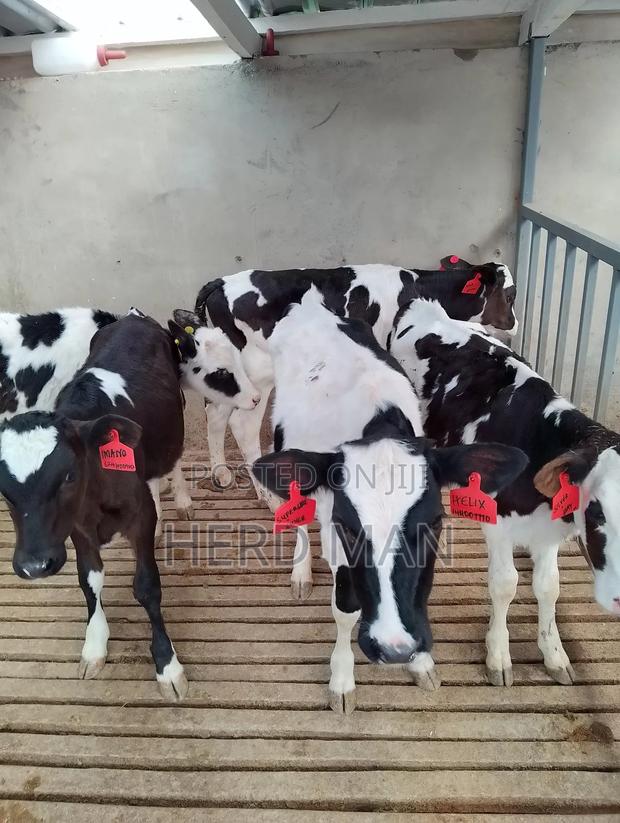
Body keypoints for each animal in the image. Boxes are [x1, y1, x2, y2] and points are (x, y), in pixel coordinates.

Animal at [0, 313, 197, 699]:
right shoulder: (77, 528)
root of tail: (133, 317)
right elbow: (89, 579)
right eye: (3, 488)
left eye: (68, 475)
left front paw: (167, 664)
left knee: (174, 460)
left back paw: (180, 499)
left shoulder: (138, 517)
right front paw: (94, 644)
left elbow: (146, 586)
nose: (33, 566)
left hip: (177, 414)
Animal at [174, 260, 517, 517]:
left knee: (216, 413)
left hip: (233, 372)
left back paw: (221, 472)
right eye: (511, 295)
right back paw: (269, 499)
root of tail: (220, 282)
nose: (513, 325)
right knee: (241, 424)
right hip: (257, 371)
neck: (418, 288)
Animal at [252, 291, 527, 712]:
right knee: (297, 514)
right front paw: (342, 679)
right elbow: (345, 610)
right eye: (349, 529)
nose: (394, 648)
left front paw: (421, 665)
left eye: (435, 524)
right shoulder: (335, 538)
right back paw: (300, 573)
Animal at [390, 297, 620, 687]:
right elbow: (505, 584)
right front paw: (498, 655)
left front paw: (554, 653)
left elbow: (549, 586)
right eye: (597, 510)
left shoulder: (549, 529)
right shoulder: (497, 522)